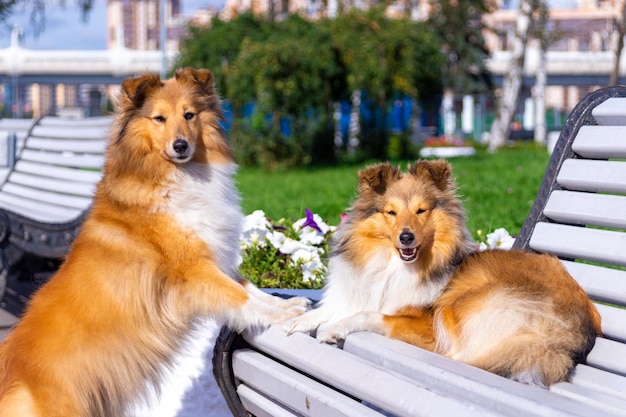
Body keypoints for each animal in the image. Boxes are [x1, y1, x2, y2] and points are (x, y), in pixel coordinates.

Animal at [0, 68, 308, 416]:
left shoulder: (215, 257)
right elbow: (239, 297)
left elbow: (251, 289)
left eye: (189, 115)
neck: (175, 176)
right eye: (159, 118)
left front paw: (289, 304)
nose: (181, 145)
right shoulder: (193, 270)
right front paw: (284, 316)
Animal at [286, 159, 600, 386]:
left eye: (421, 210)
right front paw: (300, 318)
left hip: (464, 301)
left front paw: (333, 329)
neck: (394, 267)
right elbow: (333, 308)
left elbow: (367, 314)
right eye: (391, 212)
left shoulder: (424, 324)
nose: (407, 237)